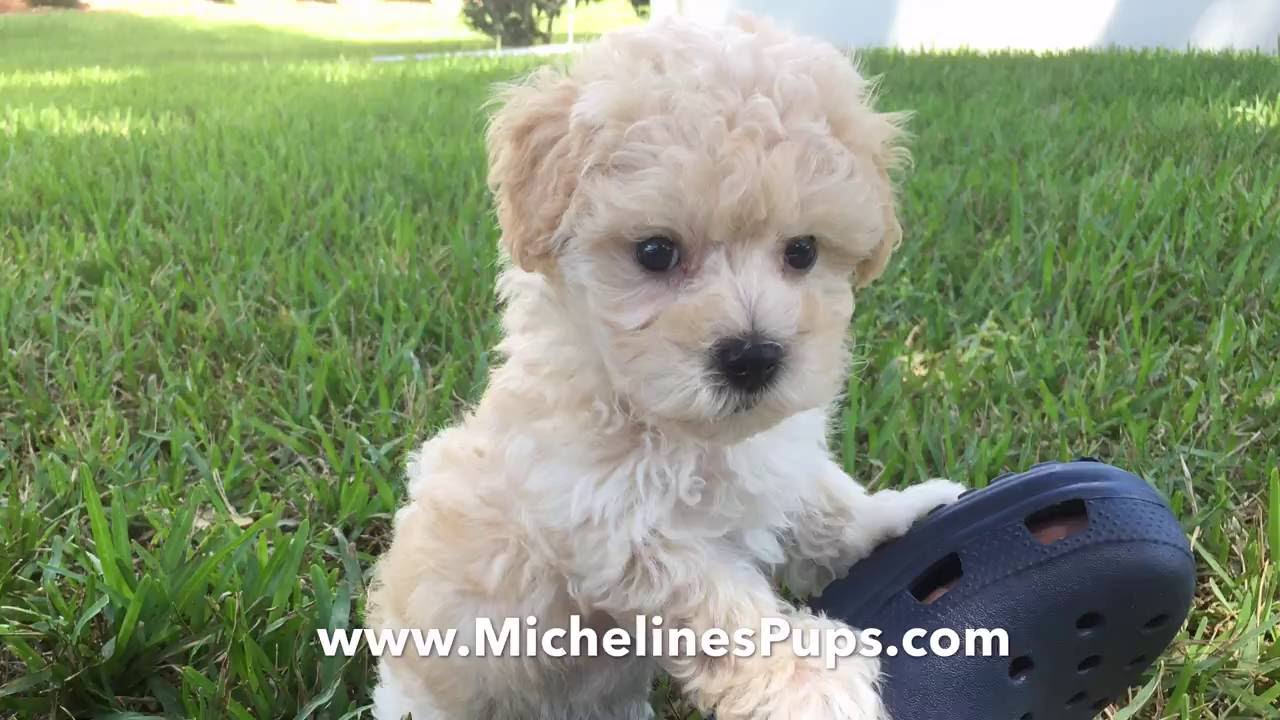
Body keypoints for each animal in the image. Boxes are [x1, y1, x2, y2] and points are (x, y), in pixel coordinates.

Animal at [368, 12, 962, 717]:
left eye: (803, 251)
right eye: (655, 252)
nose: (753, 357)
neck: (680, 430)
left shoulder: (772, 460)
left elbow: (822, 502)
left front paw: (895, 514)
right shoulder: (617, 527)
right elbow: (720, 607)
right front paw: (812, 683)